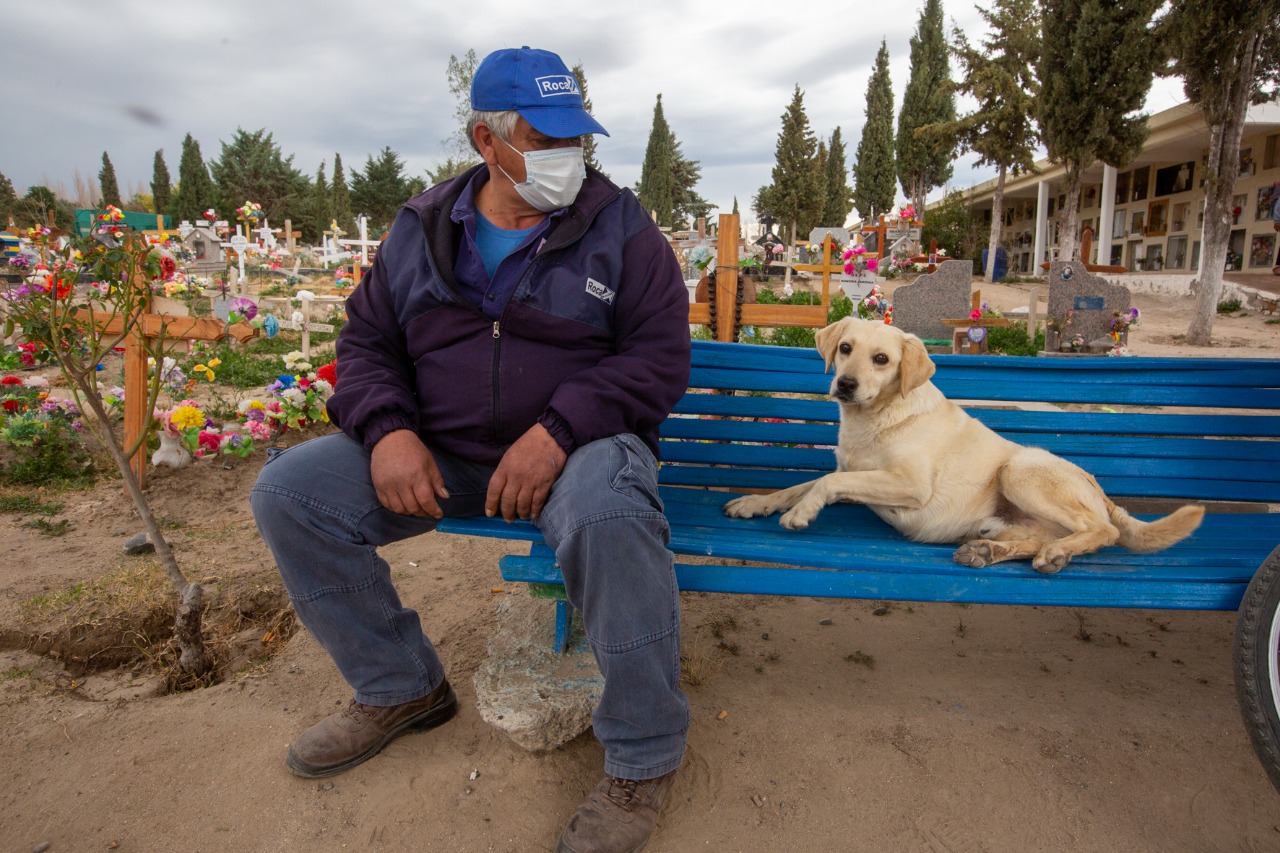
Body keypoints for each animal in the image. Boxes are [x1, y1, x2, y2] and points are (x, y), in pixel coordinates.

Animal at [727, 317, 1203, 571]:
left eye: (881, 360)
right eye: (845, 348)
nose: (845, 384)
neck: (874, 420)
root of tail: (1102, 493)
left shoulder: (910, 485)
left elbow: (822, 484)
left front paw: (800, 514)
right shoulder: (851, 471)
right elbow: (801, 485)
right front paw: (755, 502)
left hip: (1020, 471)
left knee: (1102, 531)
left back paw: (1054, 552)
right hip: (1007, 519)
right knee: (1043, 539)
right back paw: (991, 551)